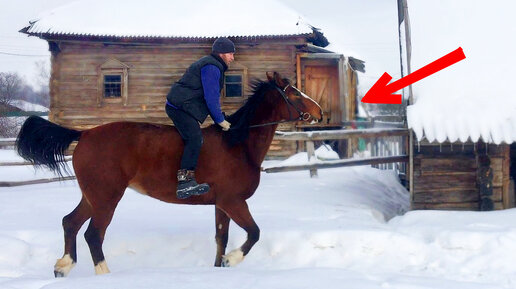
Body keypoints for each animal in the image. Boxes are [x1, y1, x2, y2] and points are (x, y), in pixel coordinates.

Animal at [16, 71, 322, 276]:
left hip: (93, 196)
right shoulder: (234, 202)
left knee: (70, 222)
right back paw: (104, 275)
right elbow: (254, 233)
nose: (319, 112)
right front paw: (232, 260)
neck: (238, 143)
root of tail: (85, 134)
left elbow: (221, 239)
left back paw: (62, 266)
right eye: (294, 93)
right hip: (106, 198)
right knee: (93, 234)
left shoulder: (221, 204)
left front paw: (220, 266)